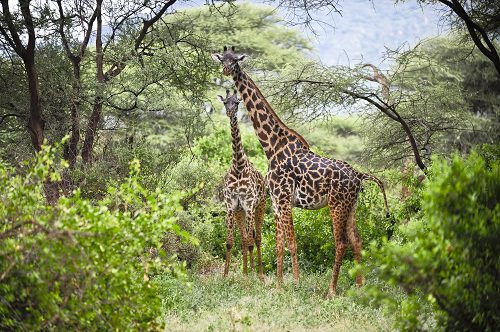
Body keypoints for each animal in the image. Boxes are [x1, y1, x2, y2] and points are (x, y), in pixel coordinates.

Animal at [218, 89, 268, 278]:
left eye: (237, 102)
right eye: (225, 102)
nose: (230, 112)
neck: (239, 166)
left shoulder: (249, 205)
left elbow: (250, 241)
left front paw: (248, 276)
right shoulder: (231, 206)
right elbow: (231, 241)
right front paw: (226, 276)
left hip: (260, 207)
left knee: (256, 238)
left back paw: (258, 273)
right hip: (240, 213)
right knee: (245, 237)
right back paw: (249, 271)